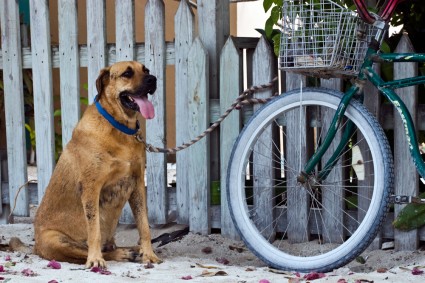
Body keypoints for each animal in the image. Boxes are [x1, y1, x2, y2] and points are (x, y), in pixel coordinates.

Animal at [33, 61, 161, 268]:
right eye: (127, 73)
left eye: (146, 70)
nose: (153, 79)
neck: (119, 128)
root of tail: (35, 248)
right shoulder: (91, 188)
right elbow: (94, 230)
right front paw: (95, 259)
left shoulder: (137, 185)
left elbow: (144, 225)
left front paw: (149, 253)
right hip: (54, 239)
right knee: (90, 251)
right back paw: (119, 254)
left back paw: (132, 250)